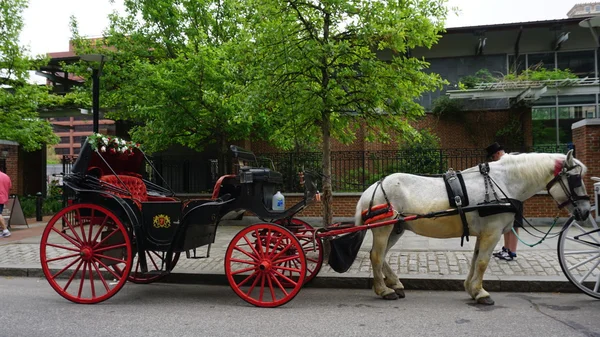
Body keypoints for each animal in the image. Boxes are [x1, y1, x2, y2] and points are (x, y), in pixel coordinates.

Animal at [356, 150, 592, 304]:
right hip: (383, 229)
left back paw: (394, 284)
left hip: (396, 228)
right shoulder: (492, 232)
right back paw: (384, 290)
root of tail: (373, 188)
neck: (502, 183)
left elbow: (475, 260)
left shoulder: (484, 233)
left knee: (381, 255)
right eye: (575, 179)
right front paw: (480, 293)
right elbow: (483, 262)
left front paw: (471, 288)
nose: (585, 211)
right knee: (376, 256)